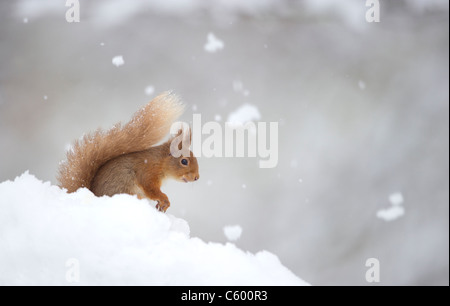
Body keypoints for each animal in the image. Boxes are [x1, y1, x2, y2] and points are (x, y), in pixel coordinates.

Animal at [58, 92, 200, 212]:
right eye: (184, 161)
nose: (197, 177)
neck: (160, 162)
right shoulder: (147, 172)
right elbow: (151, 190)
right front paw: (165, 199)